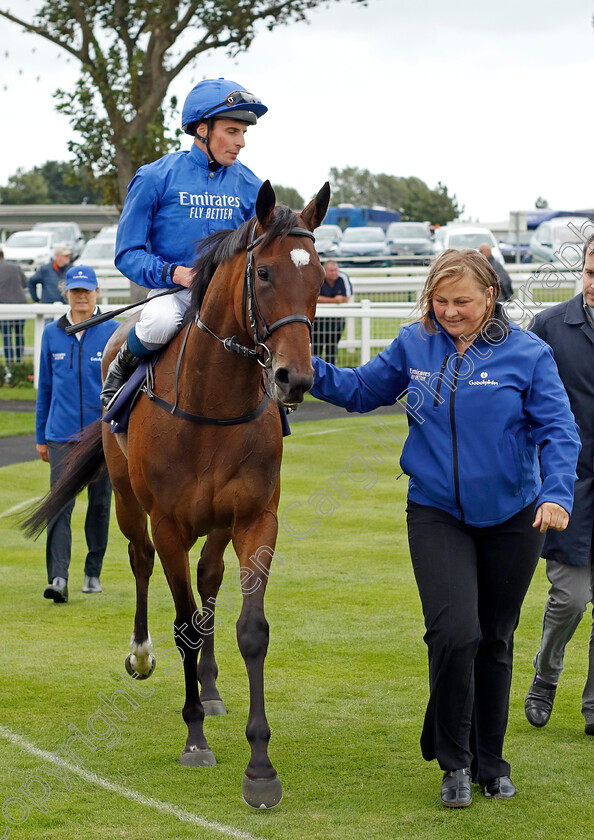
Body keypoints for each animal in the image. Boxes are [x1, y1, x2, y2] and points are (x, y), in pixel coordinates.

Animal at [25, 182, 330, 808]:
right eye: (264, 272)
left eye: (318, 278)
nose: (295, 379)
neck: (212, 405)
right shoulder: (167, 523)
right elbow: (182, 621)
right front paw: (194, 741)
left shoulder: (256, 519)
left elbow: (249, 629)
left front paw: (259, 767)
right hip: (126, 501)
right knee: (141, 563)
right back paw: (142, 656)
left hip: (215, 523)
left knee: (210, 580)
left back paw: (210, 689)